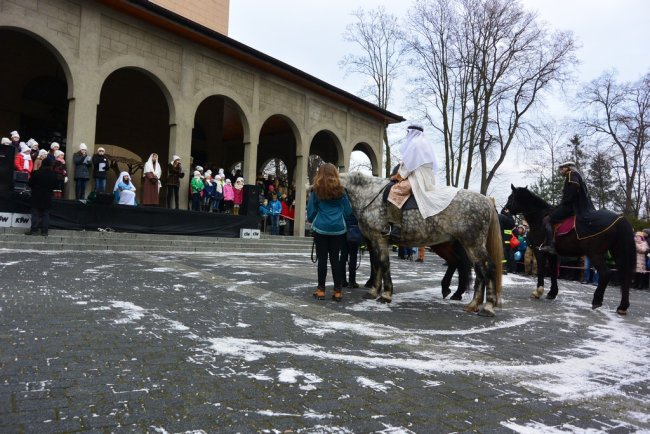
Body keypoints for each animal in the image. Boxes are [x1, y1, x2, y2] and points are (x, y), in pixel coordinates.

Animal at [340, 171, 502, 318]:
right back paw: (470, 302)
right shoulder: (373, 240)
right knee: (474, 269)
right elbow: (376, 264)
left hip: (472, 244)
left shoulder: (379, 238)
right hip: (462, 245)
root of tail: (486, 200)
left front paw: (385, 294)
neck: (369, 195)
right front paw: (373, 291)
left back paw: (487, 307)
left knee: (486, 267)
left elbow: (383, 263)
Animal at [504, 185, 632, 314]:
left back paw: (597, 300)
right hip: (617, 252)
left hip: (595, 254)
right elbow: (553, 272)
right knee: (624, 276)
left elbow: (541, 270)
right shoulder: (552, 254)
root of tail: (619, 218)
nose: (504, 210)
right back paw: (622, 307)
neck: (539, 218)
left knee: (606, 273)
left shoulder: (539, 251)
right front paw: (552, 293)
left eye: (510, 197)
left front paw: (538, 291)